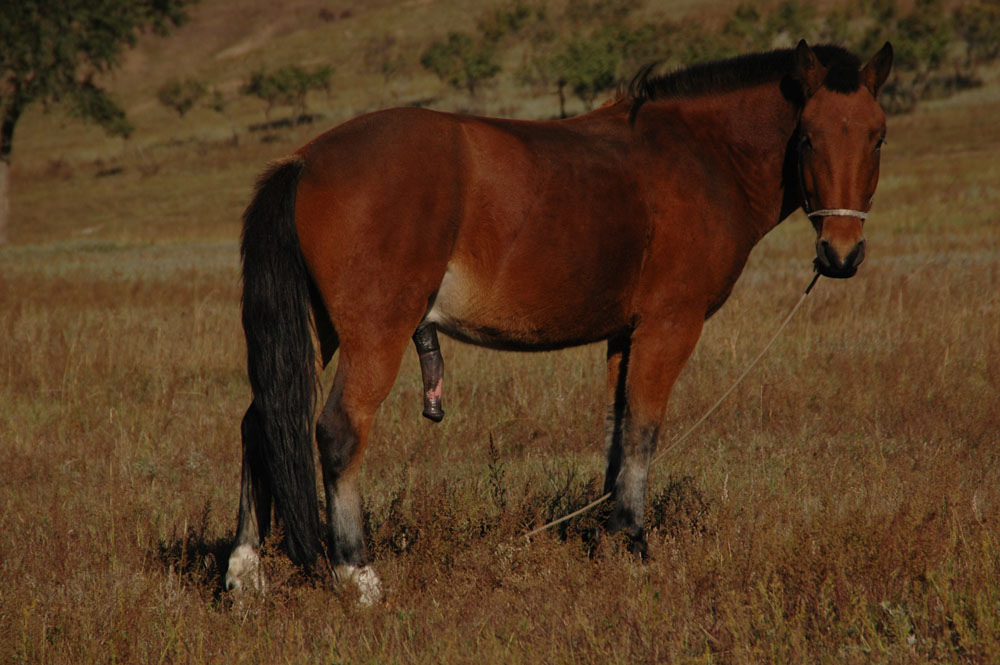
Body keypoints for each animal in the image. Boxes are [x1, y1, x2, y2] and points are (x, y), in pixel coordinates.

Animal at [224, 40, 893, 603]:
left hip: (321, 330)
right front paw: (634, 544)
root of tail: (305, 159)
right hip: (375, 335)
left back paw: (244, 569)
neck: (700, 155)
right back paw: (356, 572)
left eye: (878, 136)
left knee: (261, 422)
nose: (841, 253)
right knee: (338, 431)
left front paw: (608, 534)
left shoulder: (624, 334)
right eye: (807, 137)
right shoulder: (668, 327)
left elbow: (616, 434)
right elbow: (644, 430)